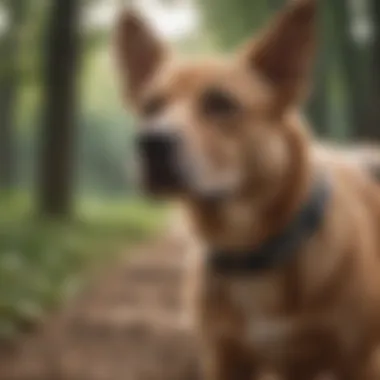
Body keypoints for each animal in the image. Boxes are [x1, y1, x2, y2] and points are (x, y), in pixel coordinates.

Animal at [114, 1, 380, 378]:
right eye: (151, 106)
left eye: (221, 103)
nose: (151, 142)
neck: (249, 249)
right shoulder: (224, 358)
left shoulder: (360, 360)